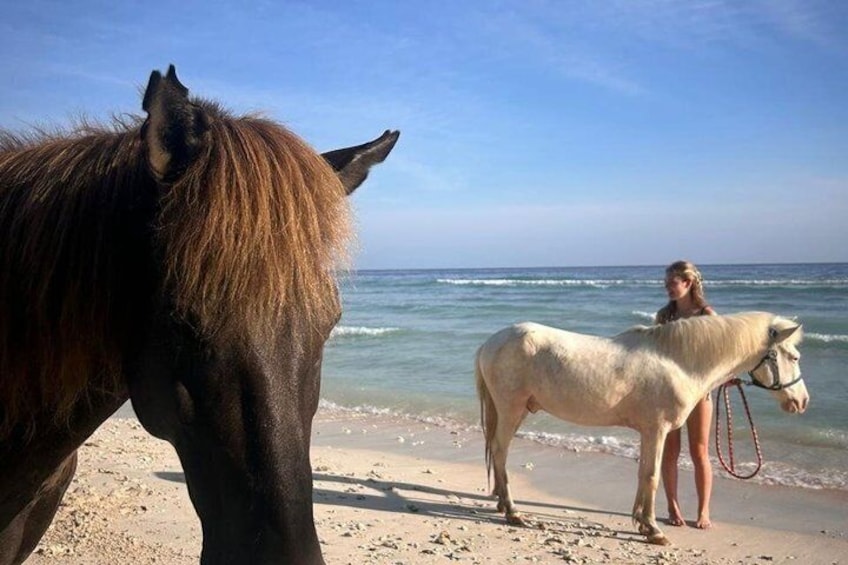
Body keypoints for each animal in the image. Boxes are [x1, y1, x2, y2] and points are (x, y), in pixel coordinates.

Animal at [475, 312, 809, 545]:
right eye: (793, 356)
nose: (802, 401)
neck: (678, 362)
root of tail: (490, 342)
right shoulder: (655, 430)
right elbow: (651, 475)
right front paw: (653, 530)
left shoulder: (651, 432)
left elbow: (644, 473)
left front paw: (641, 522)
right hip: (510, 410)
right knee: (500, 451)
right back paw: (513, 512)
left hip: (516, 411)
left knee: (499, 452)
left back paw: (504, 505)